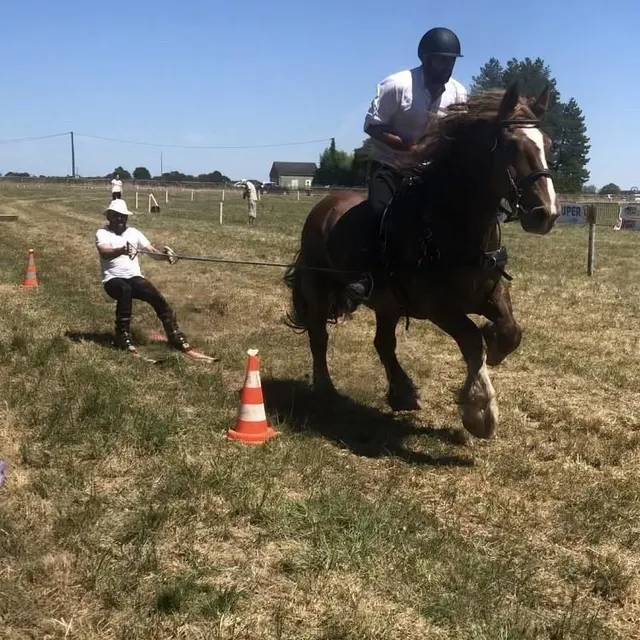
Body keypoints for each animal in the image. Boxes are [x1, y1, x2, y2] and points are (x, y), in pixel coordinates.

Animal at [283, 83, 559, 440]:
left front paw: (495, 345)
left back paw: (401, 392)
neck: (452, 227)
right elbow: (472, 341)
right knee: (319, 335)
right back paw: (327, 389)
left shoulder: (490, 293)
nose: (546, 213)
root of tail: (323, 206)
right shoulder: (439, 308)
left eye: (547, 144)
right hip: (319, 287)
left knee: (383, 343)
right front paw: (480, 411)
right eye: (511, 144)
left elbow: (511, 331)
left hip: (386, 303)